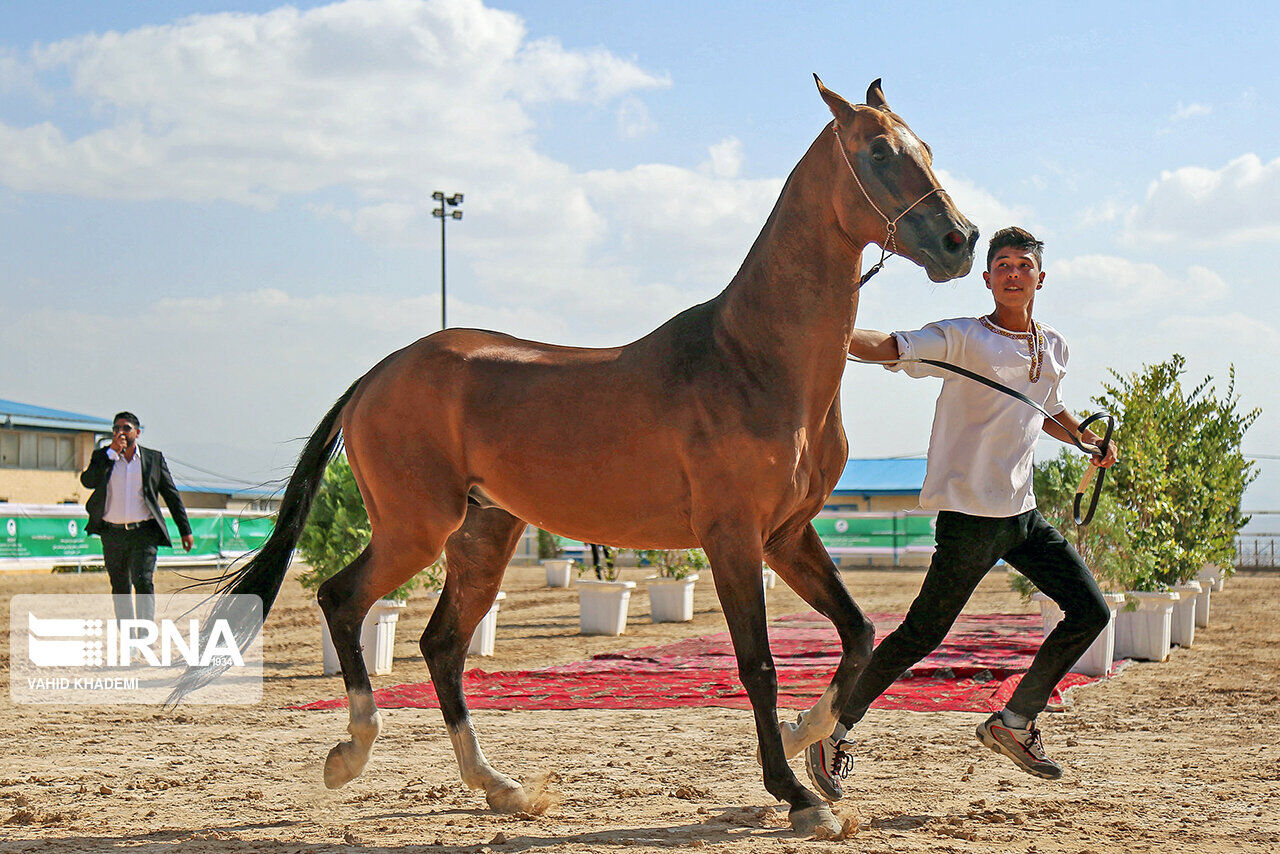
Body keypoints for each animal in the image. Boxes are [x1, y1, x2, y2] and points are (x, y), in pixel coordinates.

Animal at [180, 80, 972, 834]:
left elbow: (859, 632)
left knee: (441, 645)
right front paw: (798, 794)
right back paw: (351, 753)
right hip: (416, 529)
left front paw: (811, 743)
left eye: (927, 146)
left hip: (483, 533)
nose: (959, 241)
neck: (754, 359)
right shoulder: (734, 539)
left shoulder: (787, 536)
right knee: (343, 601)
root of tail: (377, 374)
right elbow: (758, 664)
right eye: (877, 151)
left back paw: (499, 787)